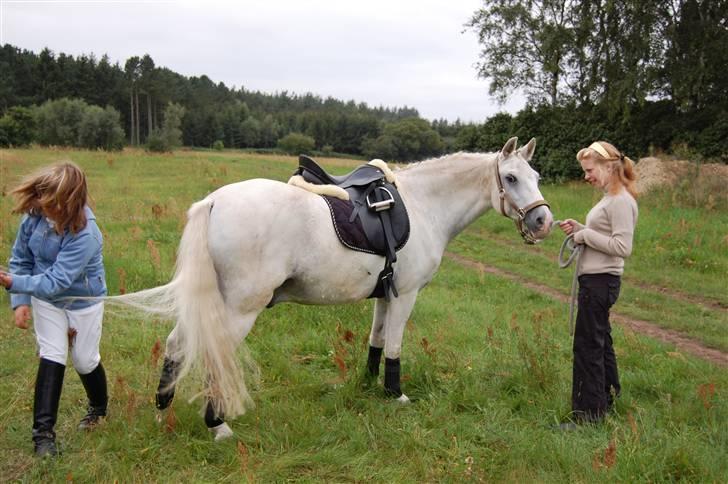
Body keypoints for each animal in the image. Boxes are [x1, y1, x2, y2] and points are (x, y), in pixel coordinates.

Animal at [113, 136, 553, 440]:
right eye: (510, 178)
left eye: (536, 178)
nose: (543, 222)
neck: (424, 205)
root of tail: (214, 201)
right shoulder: (407, 295)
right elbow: (395, 345)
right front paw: (395, 393)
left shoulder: (385, 295)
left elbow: (377, 340)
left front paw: (369, 385)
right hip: (239, 309)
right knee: (212, 354)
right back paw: (216, 424)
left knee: (176, 344)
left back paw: (162, 410)